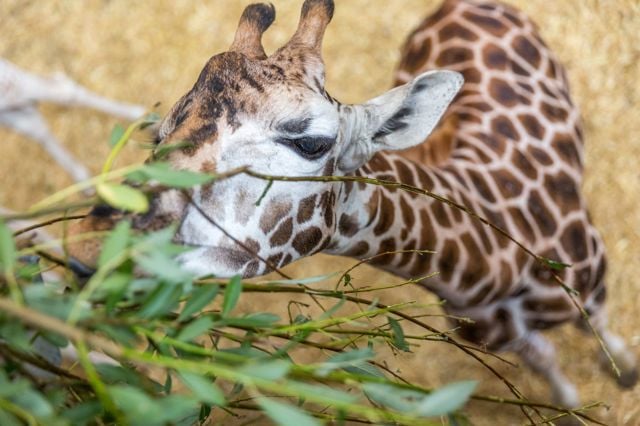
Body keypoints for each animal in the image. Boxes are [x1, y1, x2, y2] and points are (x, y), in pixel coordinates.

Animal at [67, 0, 636, 406]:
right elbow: (544, 357)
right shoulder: (493, 332)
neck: (488, 275)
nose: (90, 252)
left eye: (311, 141)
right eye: (159, 136)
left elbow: (598, 323)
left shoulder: (594, 272)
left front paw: (624, 374)